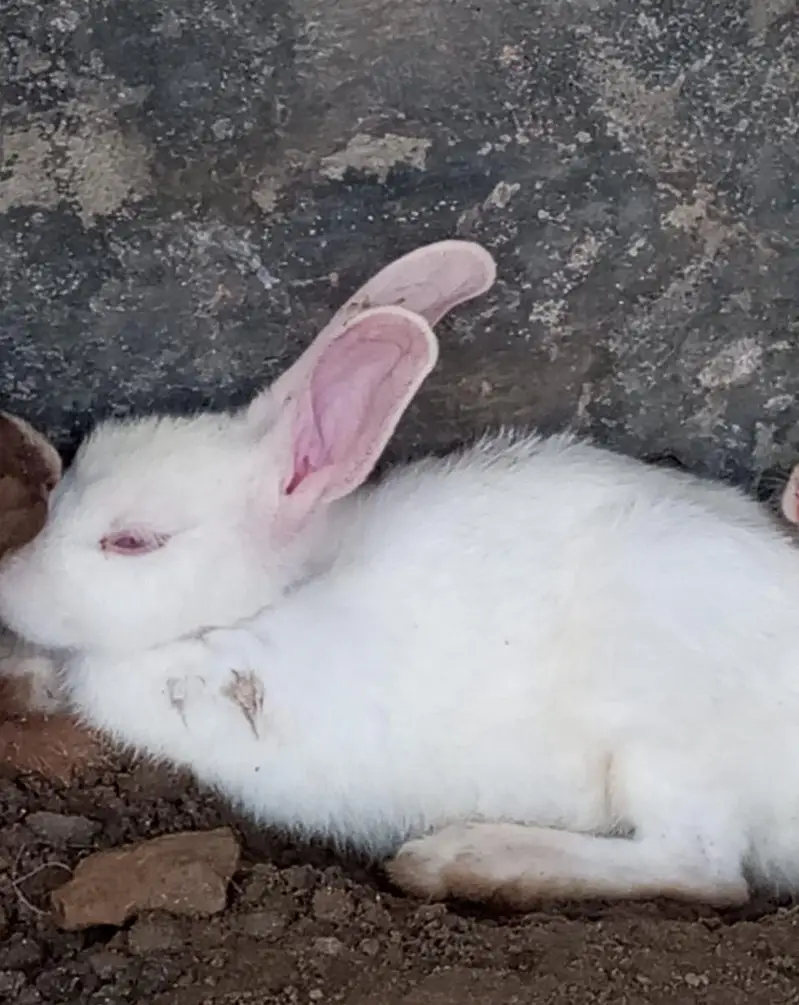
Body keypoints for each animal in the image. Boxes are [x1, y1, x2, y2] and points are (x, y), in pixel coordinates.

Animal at [2, 238, 799, 911]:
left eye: (132, 541)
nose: (11, 583)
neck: (274, 601)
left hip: (664, 736)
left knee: (702, 868)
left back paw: (459, 859)